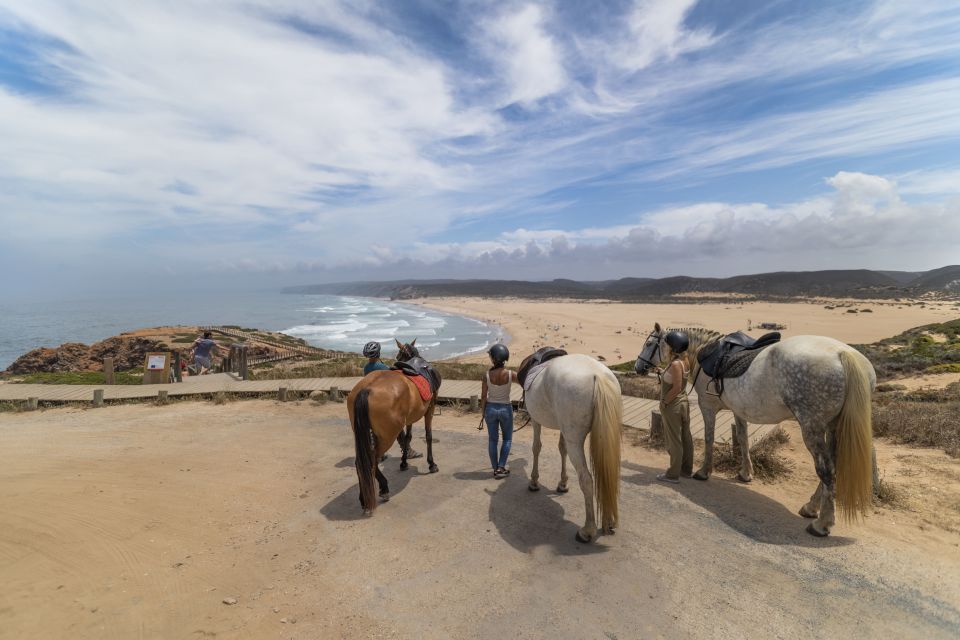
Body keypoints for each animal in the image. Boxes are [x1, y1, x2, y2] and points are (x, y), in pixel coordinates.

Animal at [346, 340, 440, 516]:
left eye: (398, 355)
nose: (396, 359)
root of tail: (366, 389)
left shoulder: (410, 416)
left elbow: (407, 438)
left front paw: (404, 462)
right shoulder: (430, 408)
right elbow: (428, 436)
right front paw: (431, 464)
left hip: (362, 433)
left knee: (361, 462)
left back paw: (364, 498)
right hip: (387, 436)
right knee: (371, 460)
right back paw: (383, 489)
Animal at [524, 352, 624, 544]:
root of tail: (597, 375)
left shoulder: (535, 419)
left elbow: (536, 447)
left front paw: (534, 481)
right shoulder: (563, 429)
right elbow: (561, 449)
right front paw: (562, 483)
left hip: (574, 439)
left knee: (586, 479)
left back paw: (587, 530)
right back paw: (609, 522)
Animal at [632, 322, 872, 536]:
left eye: (649, 343)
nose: (637, 367)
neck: (704, 352)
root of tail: (844, 354)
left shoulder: (707, 406)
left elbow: (709, 438)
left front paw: (703, 472)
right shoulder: (739, 410)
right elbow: (743, 437)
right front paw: (746, 473)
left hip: (812, 428)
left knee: (826, 471)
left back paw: (822, 524)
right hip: (832, 427)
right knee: (832, 467)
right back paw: (811, 508)